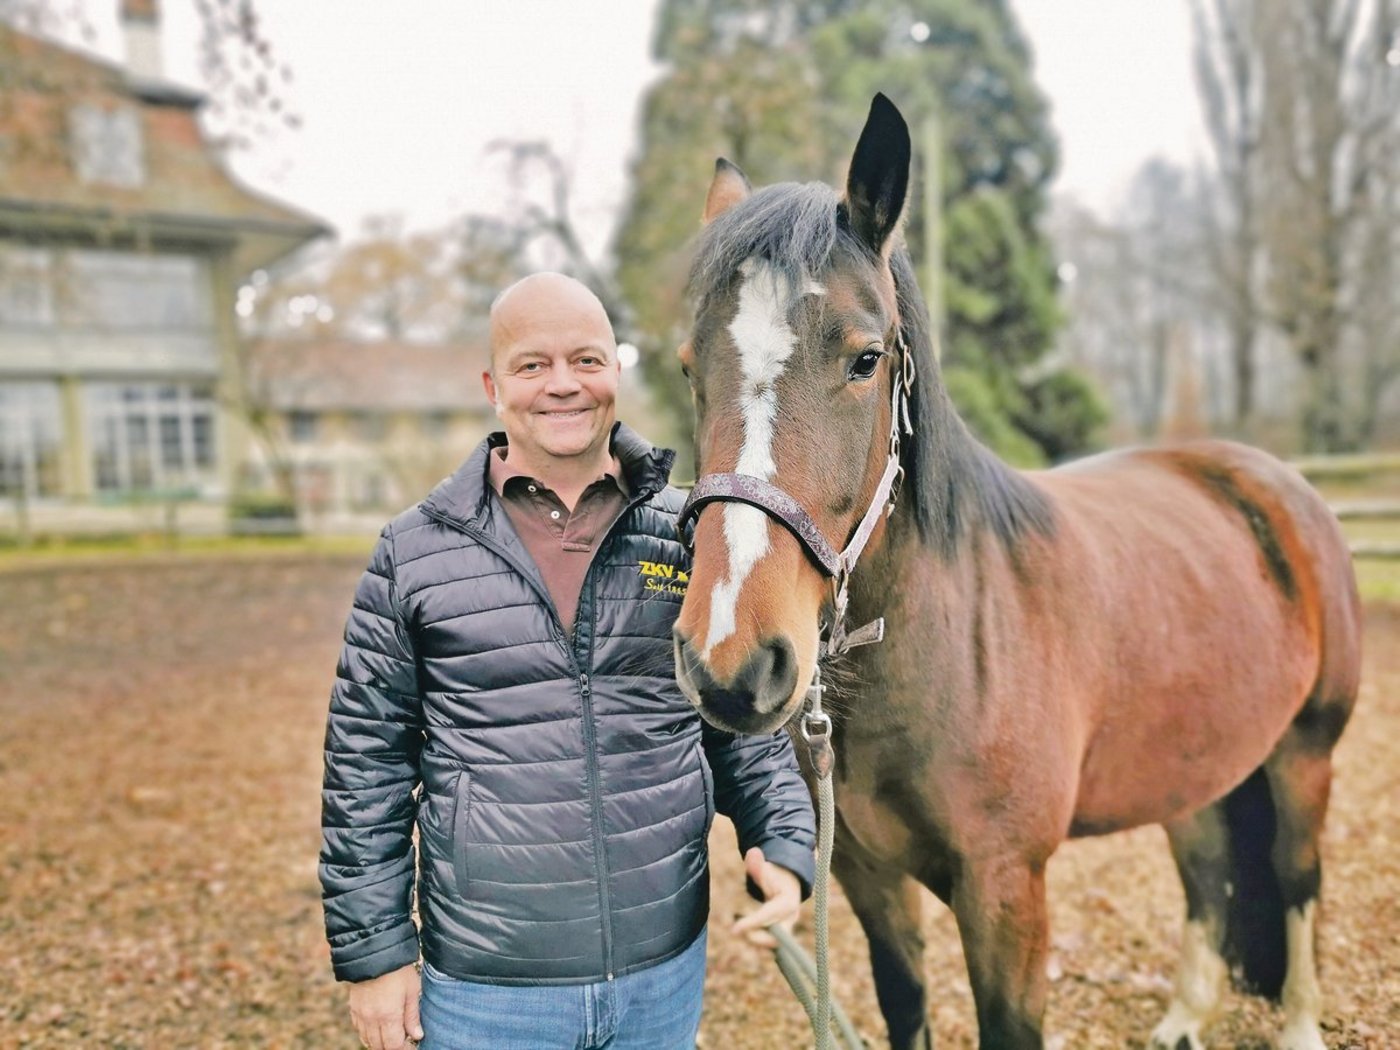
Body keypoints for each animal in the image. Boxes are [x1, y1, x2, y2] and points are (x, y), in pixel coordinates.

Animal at [670, 94, 1361, 1050]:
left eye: (865, 358)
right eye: (690, 369)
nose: (732, 659)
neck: (946, 646)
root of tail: (1277, 485)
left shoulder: (1006, 897)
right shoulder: (871, 884)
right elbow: (907, 1008)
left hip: (1305, 756)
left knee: (1297, 880)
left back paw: (1297, 1024)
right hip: (1198, 760)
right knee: (1206, 866)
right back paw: (1185, 1013)